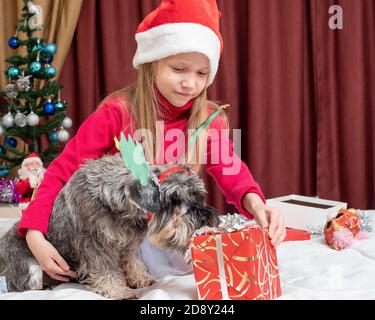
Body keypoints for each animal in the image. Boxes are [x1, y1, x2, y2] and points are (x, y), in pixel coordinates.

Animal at [0, 154, 220, 298]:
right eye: (173, 199)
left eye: (198, 195)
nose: (204, 219)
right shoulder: (94, 244)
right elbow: (105, 269)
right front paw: (118, 290)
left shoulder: (129, 244)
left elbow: (132, 261)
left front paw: (140, 278)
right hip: (31, 270)